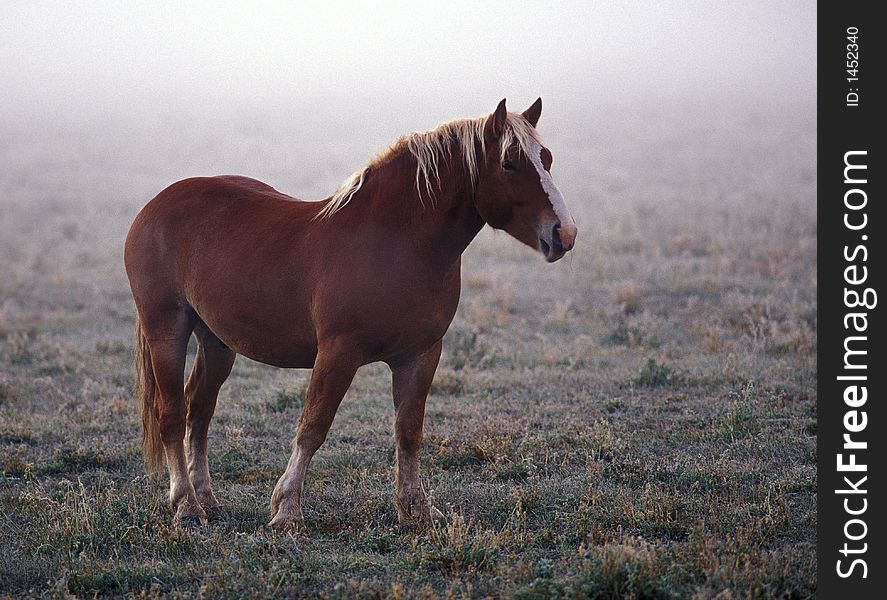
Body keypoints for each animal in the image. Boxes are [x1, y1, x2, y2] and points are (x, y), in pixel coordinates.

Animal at [126, 97, 584, 524]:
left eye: (546, 159)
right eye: (509, 163)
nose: (565, 233)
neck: (394, 242)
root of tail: (154, 205)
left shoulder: (420, 356)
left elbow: (409, 432)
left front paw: (417, 508)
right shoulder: (338, 353)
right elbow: (313, 426)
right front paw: (287, 508)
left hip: (217, 341)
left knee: (199, 409)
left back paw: (205, 498)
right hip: (167, 330)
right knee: (172, 414)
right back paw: (186, 506)